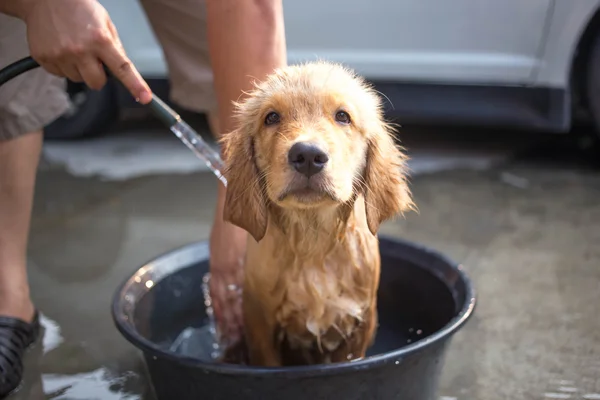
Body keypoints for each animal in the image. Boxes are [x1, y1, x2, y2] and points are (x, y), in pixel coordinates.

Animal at [219, 61, 412, 366]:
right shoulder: (260, 325)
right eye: (271, 117)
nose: (308, 155)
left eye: (343, 116)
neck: (313, 241)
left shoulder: (361, 325)